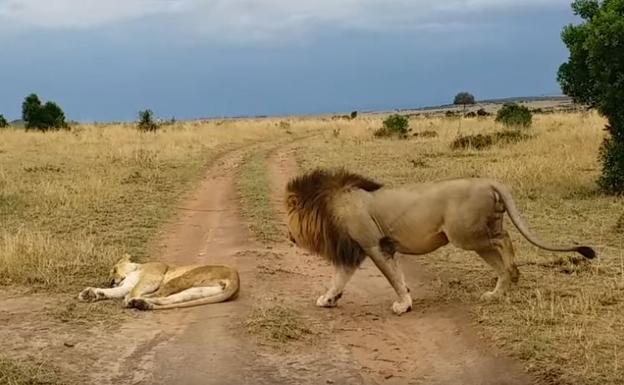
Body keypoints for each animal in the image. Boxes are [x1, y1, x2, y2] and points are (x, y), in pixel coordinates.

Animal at [77, 254, 241, 310]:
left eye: (114, 269)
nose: (111, 281)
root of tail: (236, 278)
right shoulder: (127, 284)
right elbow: (117, 291)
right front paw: (91, 293)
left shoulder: (152, 277)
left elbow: (133, 290)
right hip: (198, 291)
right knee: (168, 298)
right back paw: (142, 304)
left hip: (183, 278)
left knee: (159, 294)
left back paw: (136, 302)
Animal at [286, 168, 596, 316]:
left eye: (290, 218)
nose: (289, 236)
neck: (330, 203)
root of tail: (488, 181)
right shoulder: (356, 249)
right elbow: (339, 278)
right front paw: (328, 299)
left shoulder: (373, 245)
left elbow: (393, 277)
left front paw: (404, 304)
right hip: (475, 234)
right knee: (501, 252)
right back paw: (500, 290)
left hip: (465, 235)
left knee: (504, 240)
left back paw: (513, 273)